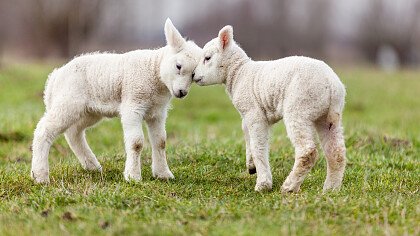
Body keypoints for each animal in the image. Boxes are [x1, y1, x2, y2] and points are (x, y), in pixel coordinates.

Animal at [30, 18, 202, 184]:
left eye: (194, 75)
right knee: (44, 130)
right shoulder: (133, 105)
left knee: (74, 133)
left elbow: (161, 141)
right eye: (178, 66)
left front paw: (163, 174)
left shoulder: (157, 112)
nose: (181, 92)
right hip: (68, 101)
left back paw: (92, 166)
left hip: (89, 111)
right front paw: (133, 177)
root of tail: (54, 77)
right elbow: (136, 142)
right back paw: (40, 176)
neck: (153, 70)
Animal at [195, 25, 346, 193]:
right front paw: (251, 166)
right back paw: (330, 189)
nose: (194, 75)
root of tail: (332, 85)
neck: (239, 73)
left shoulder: (254, 114)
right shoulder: (248, 114)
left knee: (308, 151)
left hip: (299, 107)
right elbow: (247, 135)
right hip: (327, 116)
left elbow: (258, 146)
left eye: (207, 58)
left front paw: (263, 184)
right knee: (336, 152)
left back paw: (289, 187)